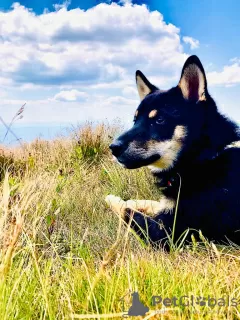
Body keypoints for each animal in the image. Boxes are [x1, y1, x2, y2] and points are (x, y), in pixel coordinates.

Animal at [106, 55, 240, 249]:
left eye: (159, 120)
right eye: (135, 120)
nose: (113, 147)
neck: (202, 161)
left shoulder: (166, 235)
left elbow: (125, 210)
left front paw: (113, 199)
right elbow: (154, 204)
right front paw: (134, 201)